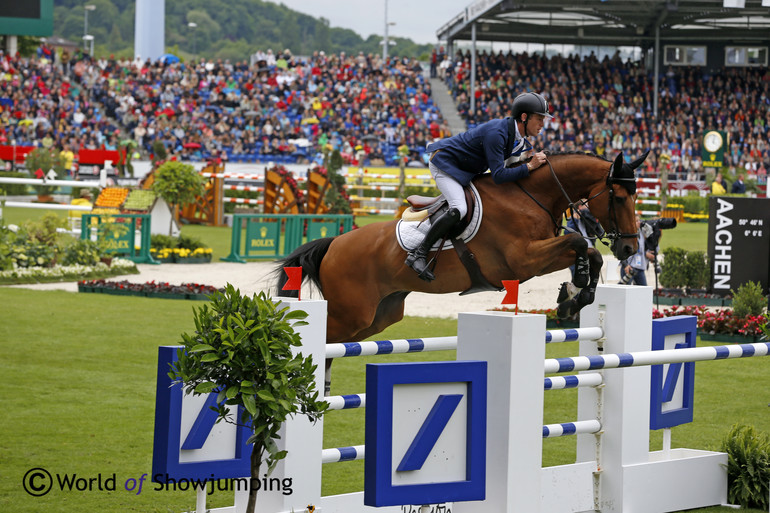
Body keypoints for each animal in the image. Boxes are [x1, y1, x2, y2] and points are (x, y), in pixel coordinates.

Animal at [276, 150, 640, 350]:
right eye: (620, 197)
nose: (629, 246)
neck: (531, 196)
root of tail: (334, 244)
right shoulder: (523, 260)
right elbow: (579, 242)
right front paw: (575, 292)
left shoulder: (539, 258)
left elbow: (589, 252)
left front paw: (577, 298)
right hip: (352, 314)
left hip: (379, 316)